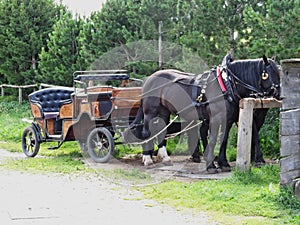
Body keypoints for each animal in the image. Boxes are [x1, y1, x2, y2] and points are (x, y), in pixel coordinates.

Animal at [127, 55, 280, 171]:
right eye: (268, 74)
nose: (280, 94)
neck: (226, 84)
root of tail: (149, 79)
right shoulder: (215, 118)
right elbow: (212, 139)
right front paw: (211, 165)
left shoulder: (228, 119)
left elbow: (223, 139)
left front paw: (223, 163)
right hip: (150, 112)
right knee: (147, 132)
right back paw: (147, 158)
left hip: (164, 112)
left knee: (161, 132)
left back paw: (165, 158)